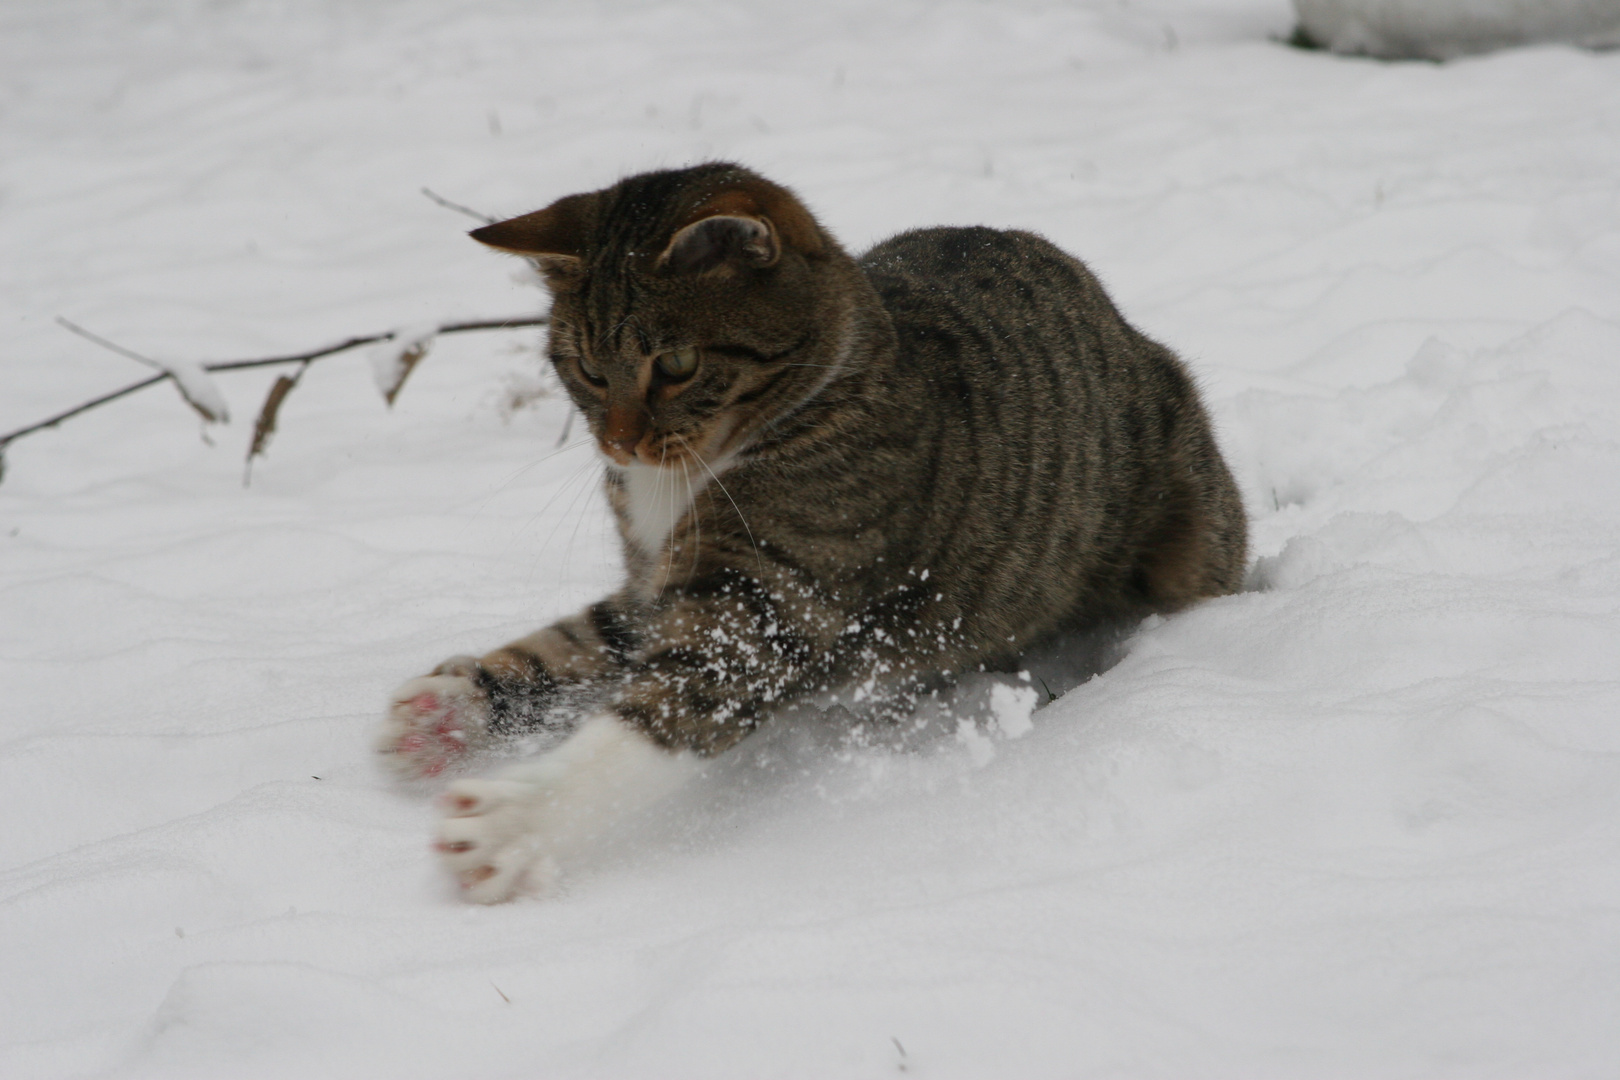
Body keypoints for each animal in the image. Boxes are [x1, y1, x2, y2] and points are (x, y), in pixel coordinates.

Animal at [372, 162, 1244, 906]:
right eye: (584, 370)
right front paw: (451, 709)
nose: (618, 444)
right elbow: (580, 639)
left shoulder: (770, 597)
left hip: (1188, 536)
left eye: (677, 364)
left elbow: (660, 713)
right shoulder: (655, 582)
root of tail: (1127, 329)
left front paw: (517, 819)